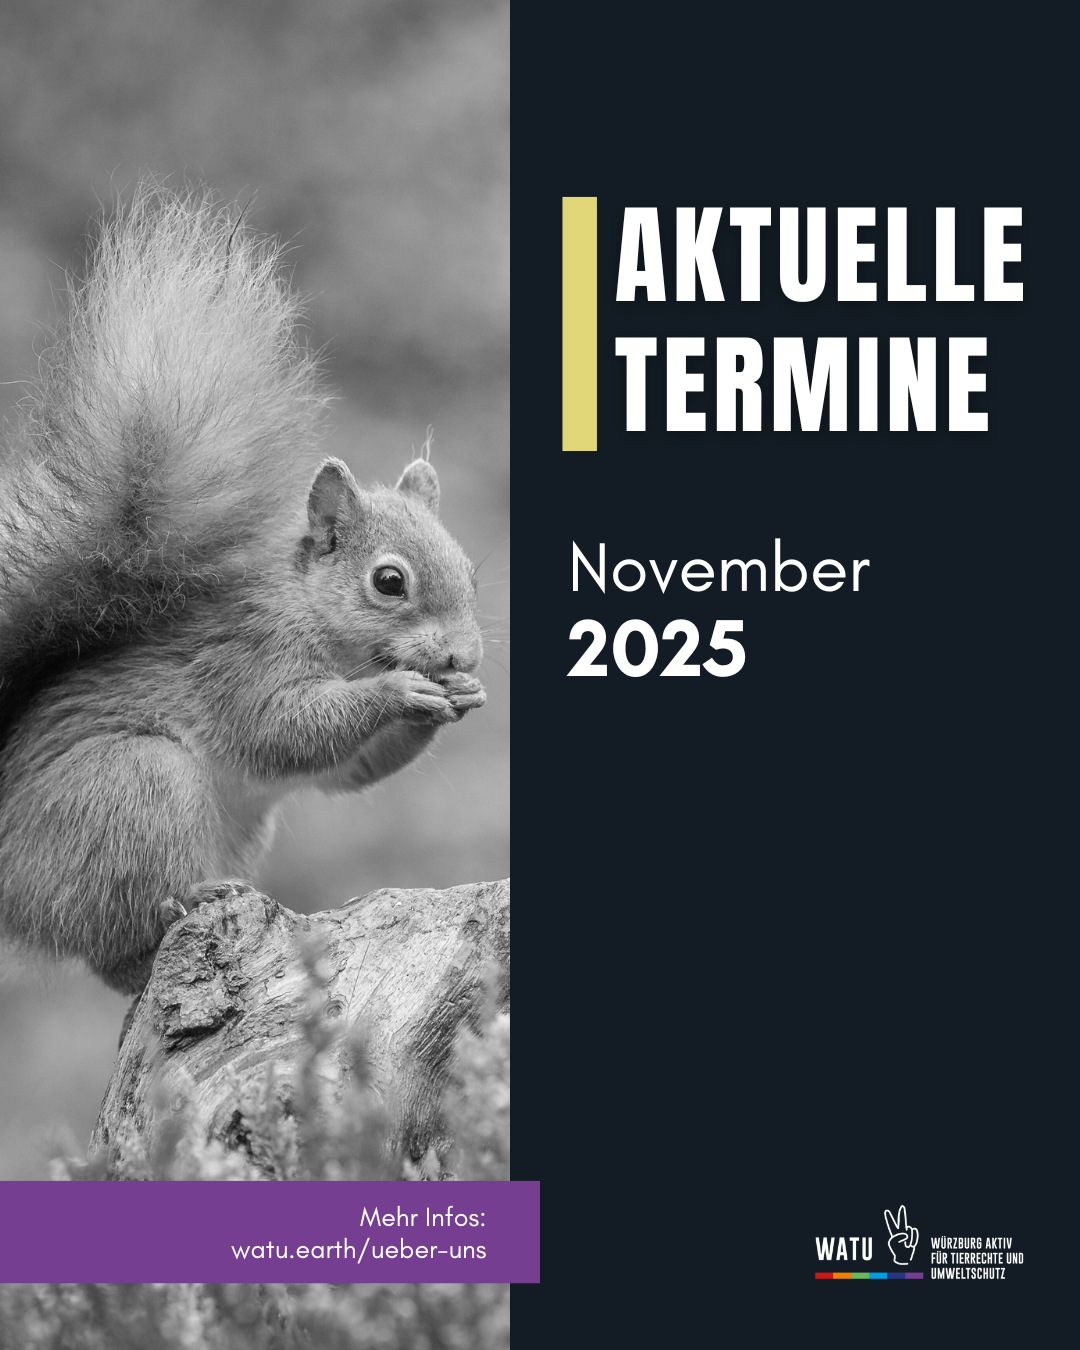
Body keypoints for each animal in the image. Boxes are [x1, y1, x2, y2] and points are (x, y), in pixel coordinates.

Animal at [0, 185, 486, 997]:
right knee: (111, 927)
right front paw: (401, 692)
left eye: (472, 571)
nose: (464, 658)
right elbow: (281, 729)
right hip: (131, 786)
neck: (322, 627)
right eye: (389, 582)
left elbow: (347, 772)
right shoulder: (244, 660)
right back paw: (186, 901)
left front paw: (458, 700)